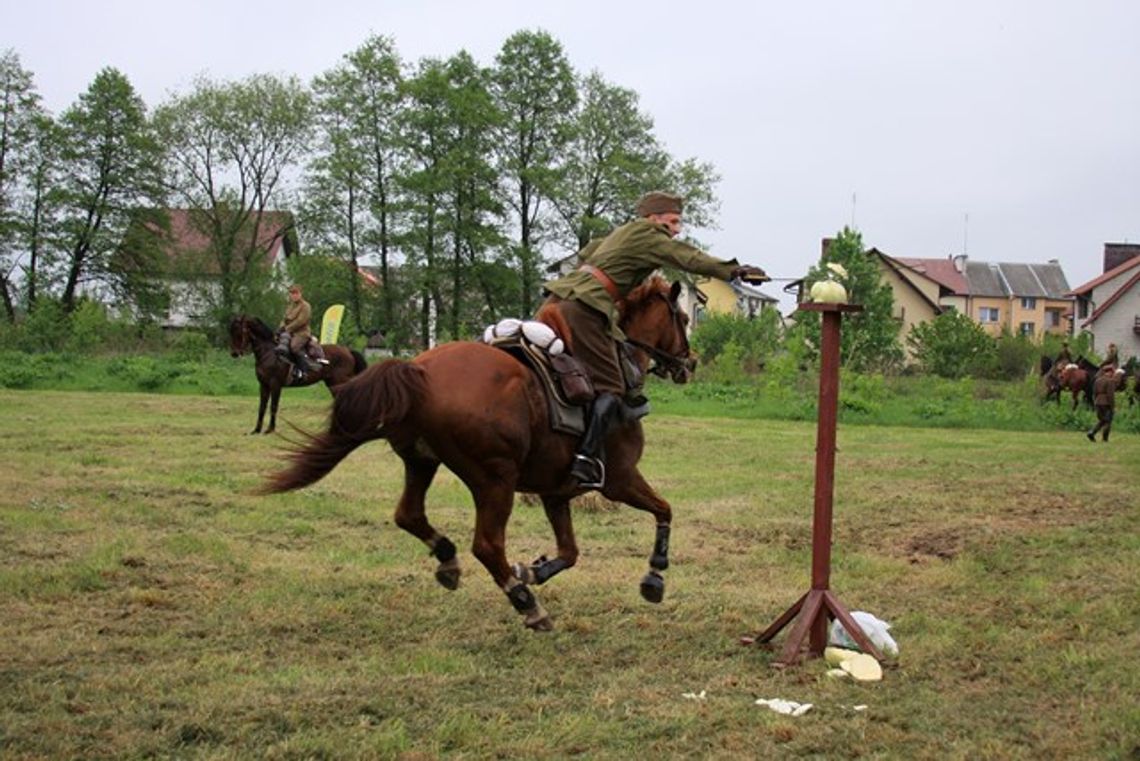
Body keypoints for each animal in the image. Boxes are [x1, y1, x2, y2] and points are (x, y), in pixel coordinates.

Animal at [231, 314, 369, 432]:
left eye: (239, 332)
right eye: (231, 331)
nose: (234, 353)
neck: (269, 353)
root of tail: (348, 351)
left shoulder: (275, 385)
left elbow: (273, 406)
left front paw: (270, 429)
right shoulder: (263, 385)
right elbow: (262, 407)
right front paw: (256, 430)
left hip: (340, 381)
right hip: (332, 383)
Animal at [262, 277, 693, 628]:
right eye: (685, 319)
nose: (689, 363)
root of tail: (420, 371)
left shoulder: (556, 493)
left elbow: (570, 551)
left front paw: (534, 570)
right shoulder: (620, 479)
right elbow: (664, 510)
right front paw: (654, 576)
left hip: (421, 461)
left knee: (409, 515)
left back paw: (450, 560)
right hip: (495, 478)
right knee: (486, 545)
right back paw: (526, 604)